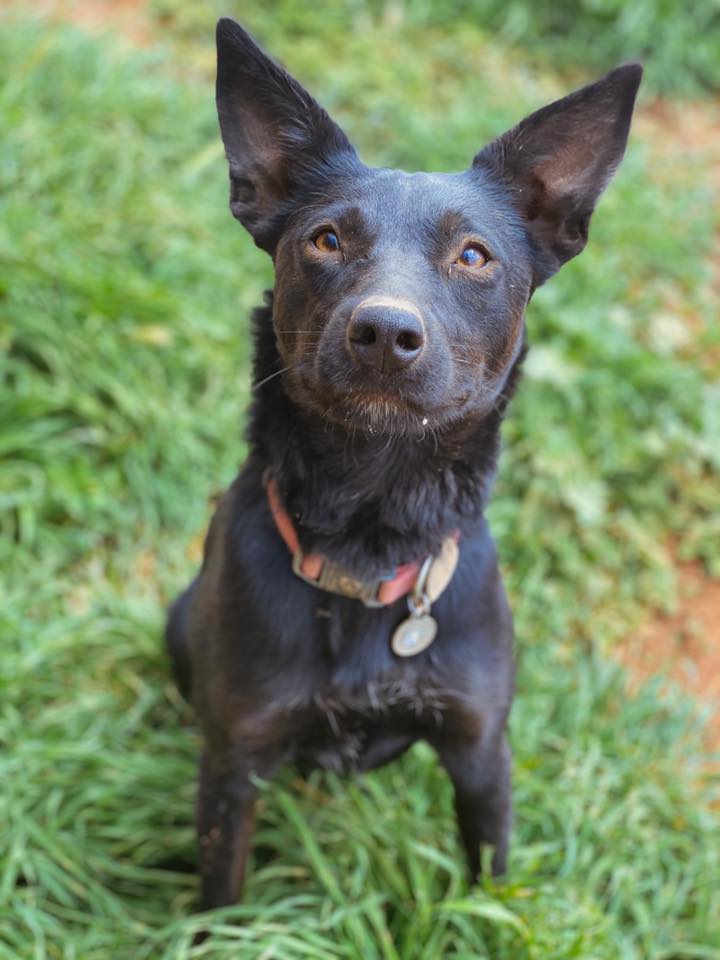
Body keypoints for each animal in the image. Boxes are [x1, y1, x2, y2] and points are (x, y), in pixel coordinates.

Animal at [169, 18, 640, 912]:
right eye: (325, 239)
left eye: (474, 256)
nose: (386, 331)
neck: (373, 524)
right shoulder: (235, 763)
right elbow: (221, 897)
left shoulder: (481, 751)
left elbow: (489, 885)